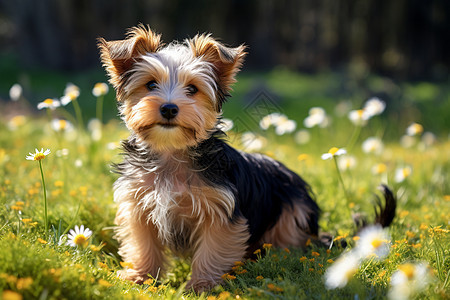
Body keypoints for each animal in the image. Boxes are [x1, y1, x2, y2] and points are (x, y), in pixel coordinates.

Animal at [97, 24, 394, 292]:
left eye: (192, 89)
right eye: (150, 85)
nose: (169, 108)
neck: (173, 151)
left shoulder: (221, 212)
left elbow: (213, 248)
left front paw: (202, 284)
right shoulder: (138, 205)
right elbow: (142, 243)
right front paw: (140, 276)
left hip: (293, 212)